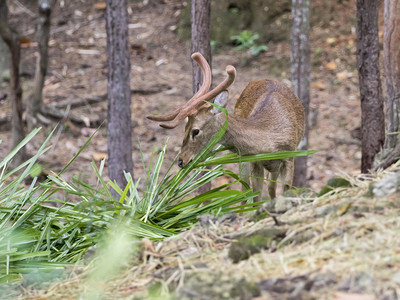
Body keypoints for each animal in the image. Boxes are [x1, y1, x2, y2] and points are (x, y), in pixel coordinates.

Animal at [147, 52, 304, 200]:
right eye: (184, 128)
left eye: (195, 131)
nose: (180, 161)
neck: (271, 143)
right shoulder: (254, 161)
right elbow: (255, 195)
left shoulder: (290, 155)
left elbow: (285, 190)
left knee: (271, 188)